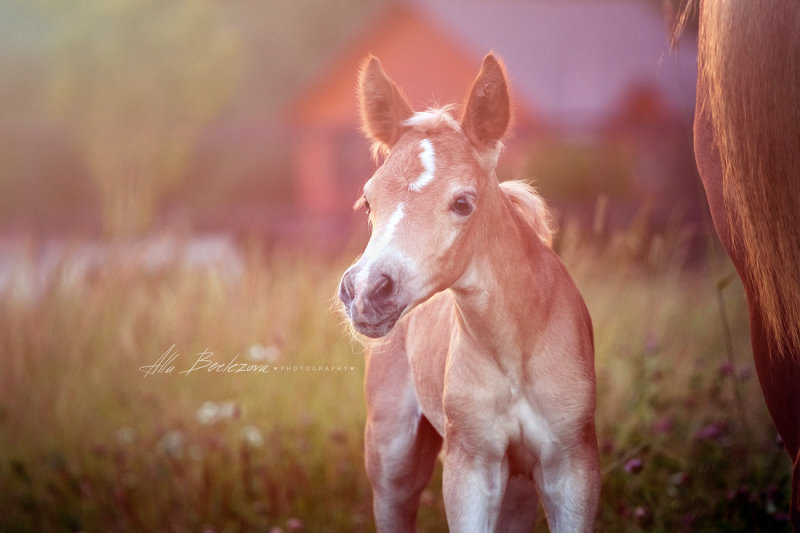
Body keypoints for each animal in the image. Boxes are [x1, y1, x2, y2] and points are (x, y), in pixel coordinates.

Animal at [340, 55, 600, 532]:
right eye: (368, 202)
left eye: (463, 203)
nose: (366, 291)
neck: (517, 347)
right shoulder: (471, 465)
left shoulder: (572, 465)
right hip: (393, 457)